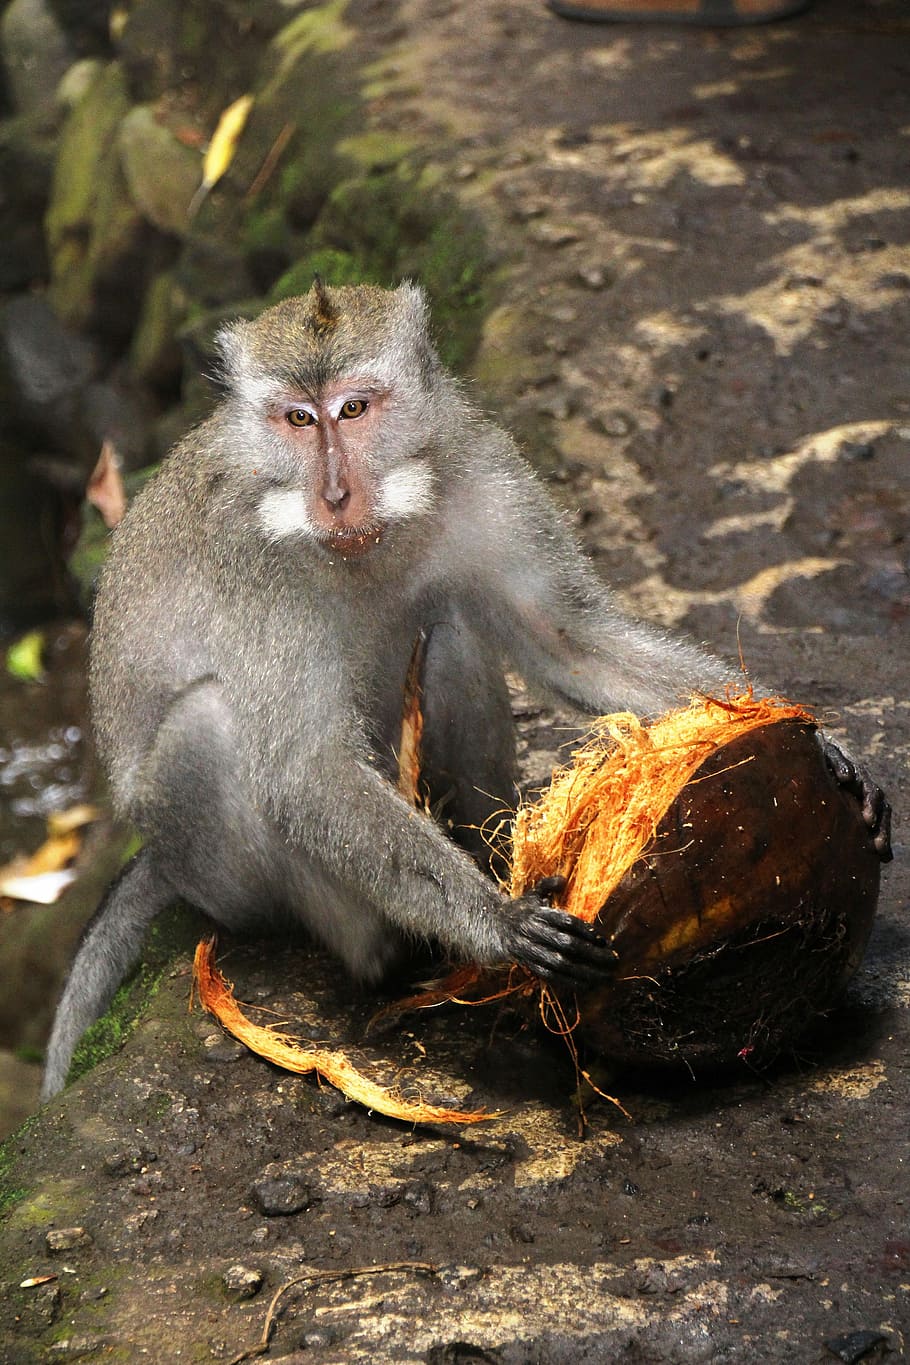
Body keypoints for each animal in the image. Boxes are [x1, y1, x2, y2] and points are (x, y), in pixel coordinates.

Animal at [40, 279, 889, 1097]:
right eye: (296, 419)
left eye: (354, 409)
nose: (335, 495)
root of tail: (159, 856)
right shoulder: (251, 557)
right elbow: (304, 768)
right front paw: (497, 921)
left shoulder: (484, 468)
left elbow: (564, 637)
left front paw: (825, 745)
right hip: (213, 868)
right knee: (214, 725)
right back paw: (389, 952)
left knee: (452, 635)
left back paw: (495, 845)